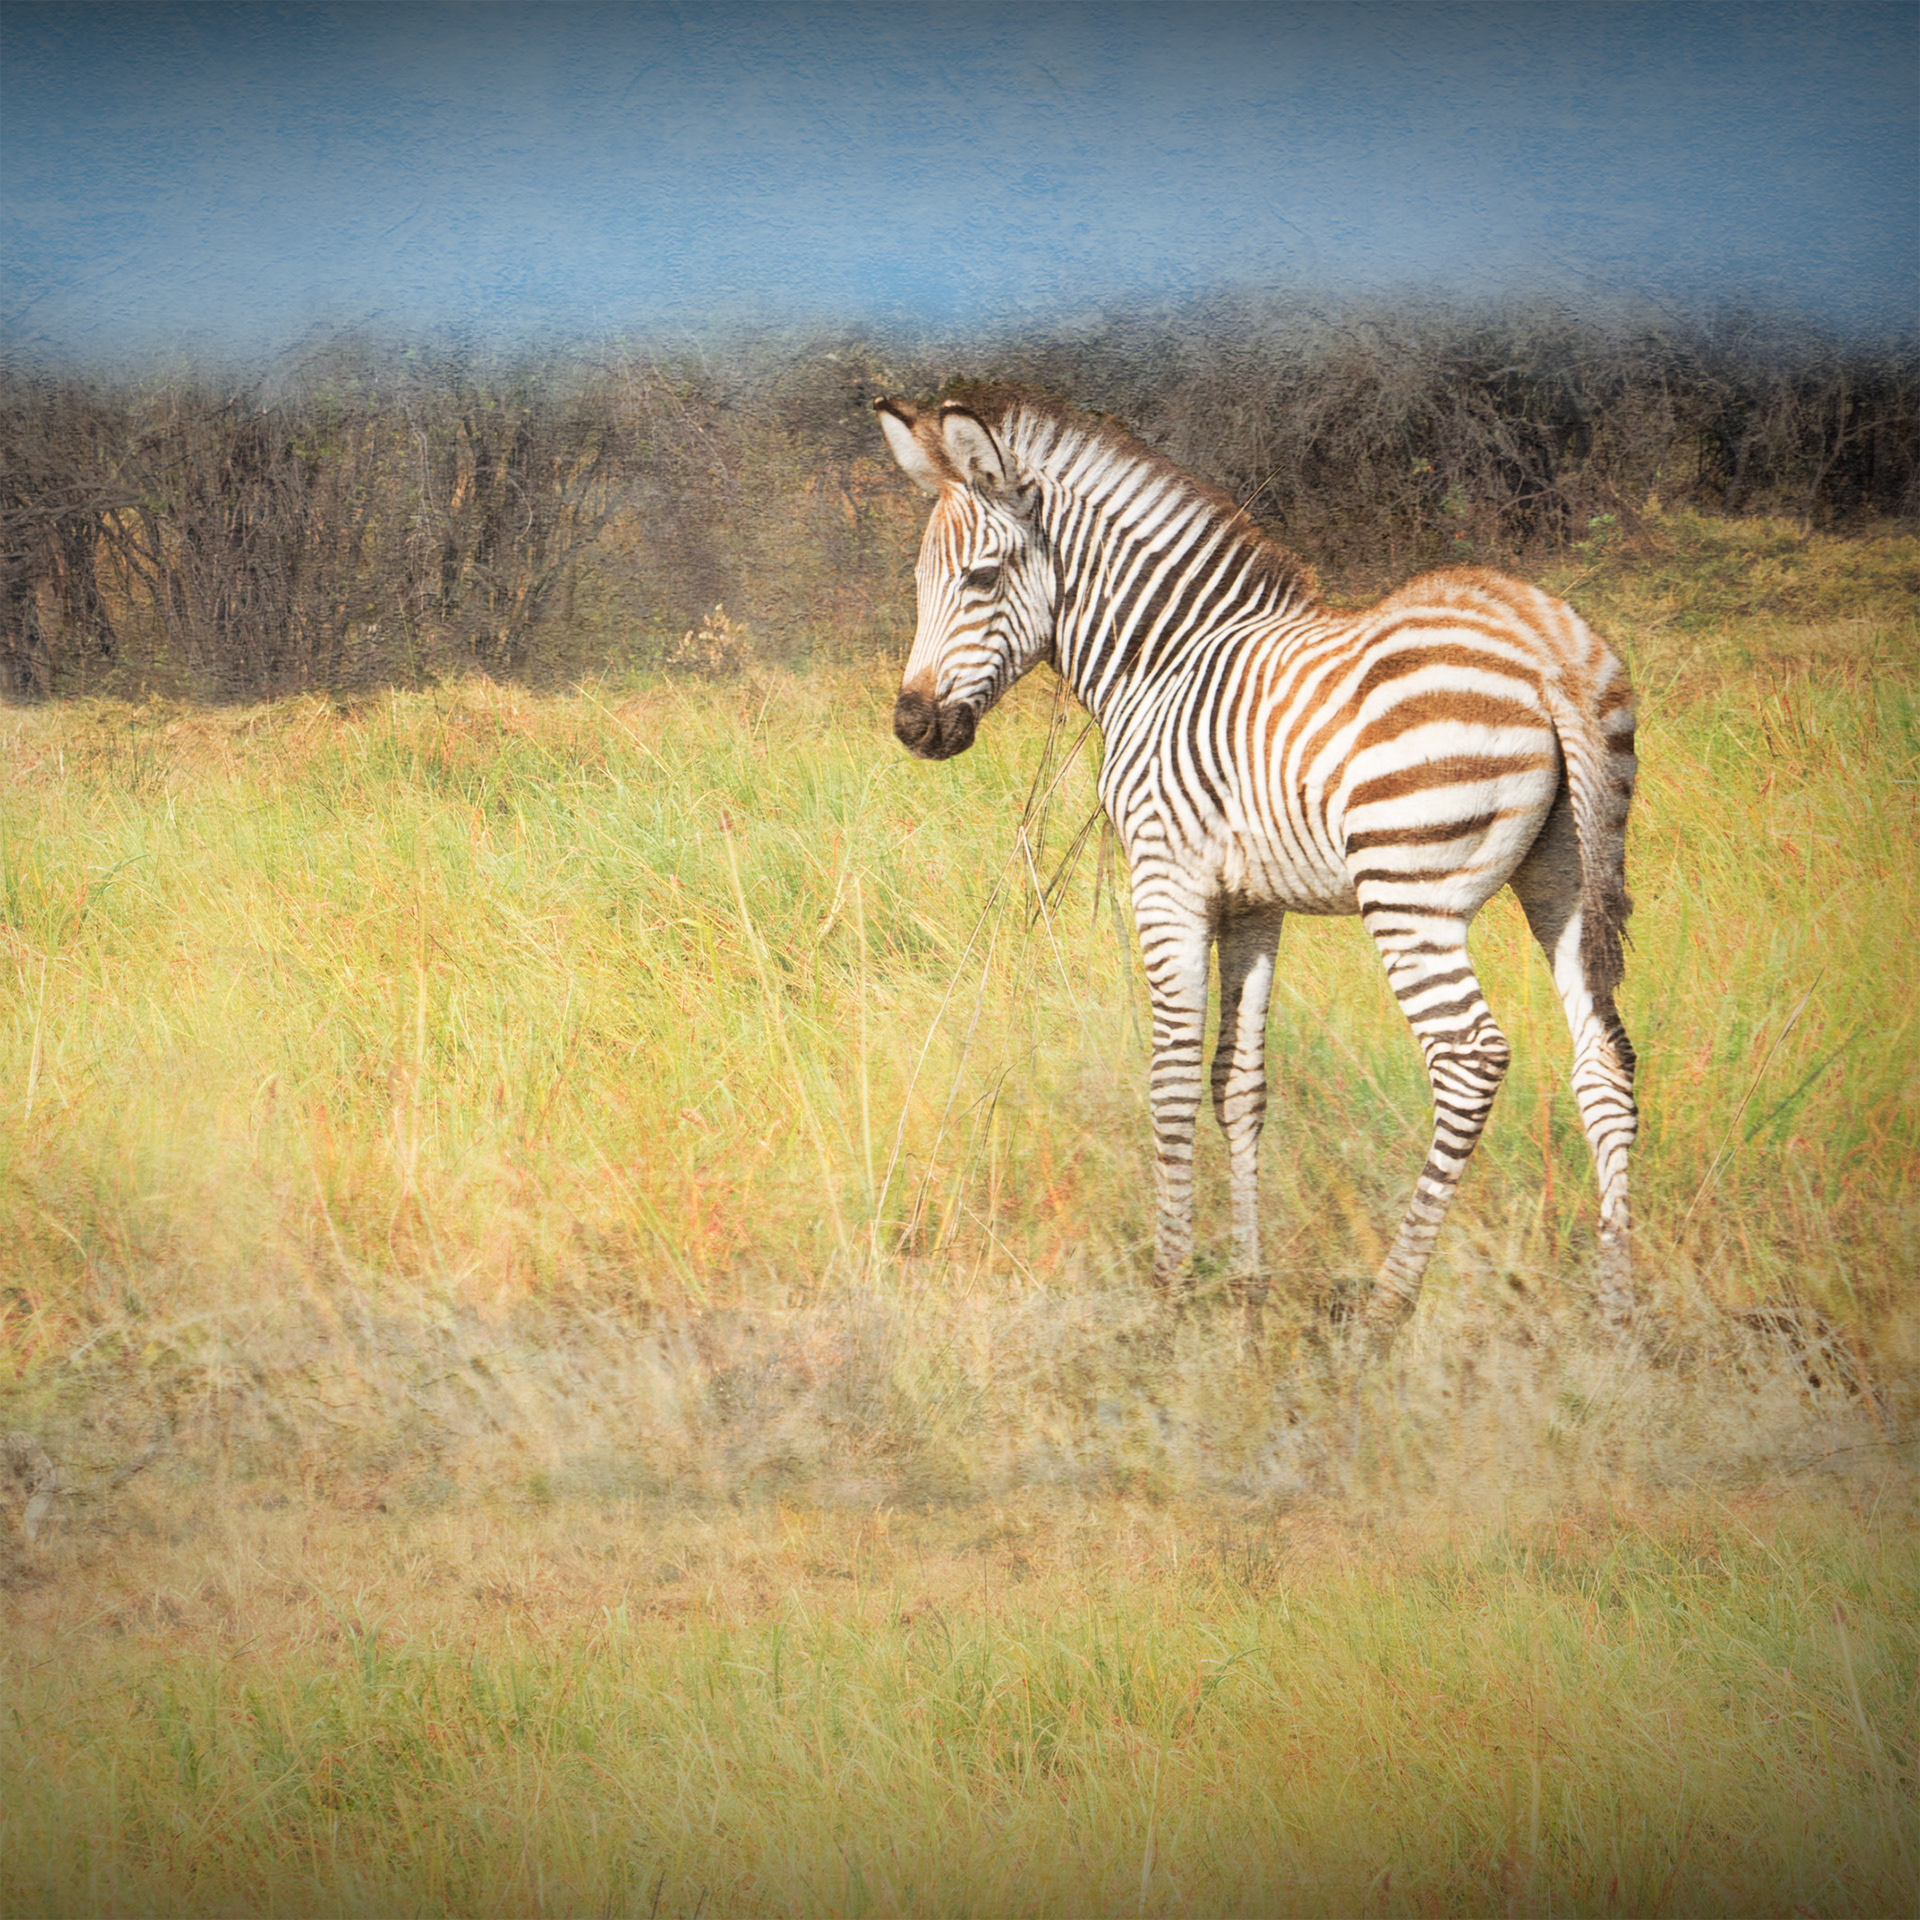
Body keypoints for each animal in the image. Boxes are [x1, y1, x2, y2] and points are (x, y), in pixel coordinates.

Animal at [876, 386, 1638, 1352]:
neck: (1164, 662)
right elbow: (1238, 1082)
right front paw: (1247, 1285)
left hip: (1409, 896)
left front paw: (1169, 1284)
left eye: (980, 580)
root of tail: (1546, 650)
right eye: (917, 585)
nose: (913, 728)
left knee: (1470, 1059)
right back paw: (1615, 1312)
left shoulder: (1166, 878)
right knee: (1605, 1063)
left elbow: (1169, 1076)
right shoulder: (1251, 902)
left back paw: (1388, 1304)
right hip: (1567, 879)